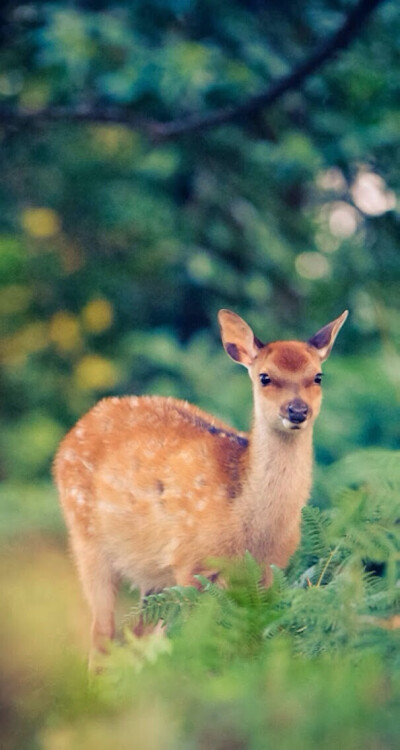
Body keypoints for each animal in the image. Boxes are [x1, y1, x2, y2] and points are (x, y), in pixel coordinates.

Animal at [54, 309, 348, 664]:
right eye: (265, 377)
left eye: (318, 377)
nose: (297, 410)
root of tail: (74, 432)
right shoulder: (189, 563)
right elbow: (199, 644)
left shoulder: (267, 571)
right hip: (86, 539)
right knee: (103, 634)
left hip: (152, 575)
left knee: (139, 635)